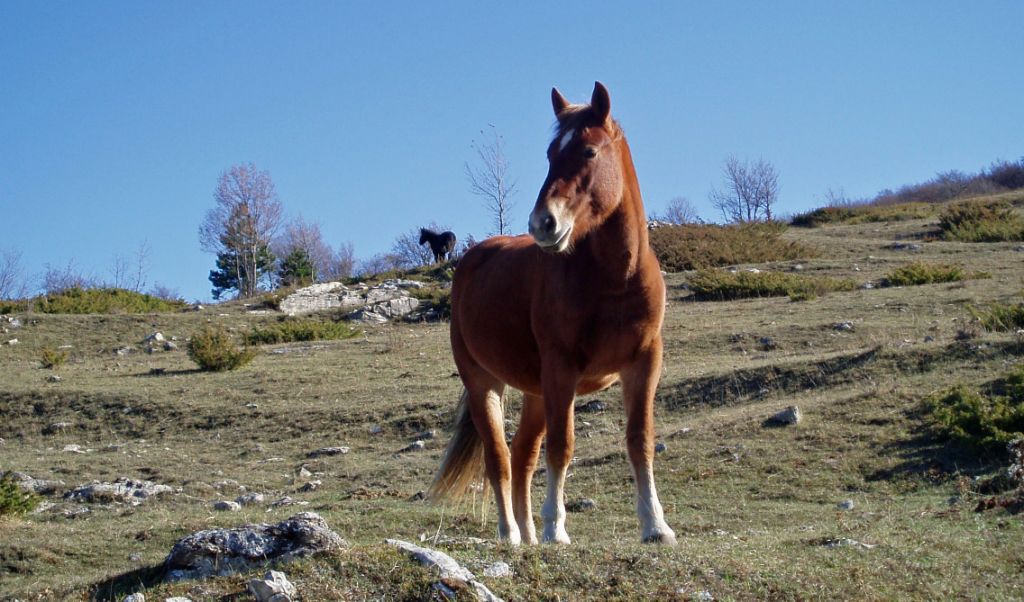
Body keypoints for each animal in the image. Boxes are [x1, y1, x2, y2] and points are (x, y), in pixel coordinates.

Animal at [428, 82, 675, 548]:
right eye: (549, 154)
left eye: (589, 152)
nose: (543, 223)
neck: (615, 281)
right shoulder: (562, 368)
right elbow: (562, 445)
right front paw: (555, 529)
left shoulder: (644, 362)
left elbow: (640, 440)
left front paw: (656, 526)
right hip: (484, 382)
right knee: (500, 457)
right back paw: (511, 533)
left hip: (536, 393)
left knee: (522, 454)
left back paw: (526, 535)